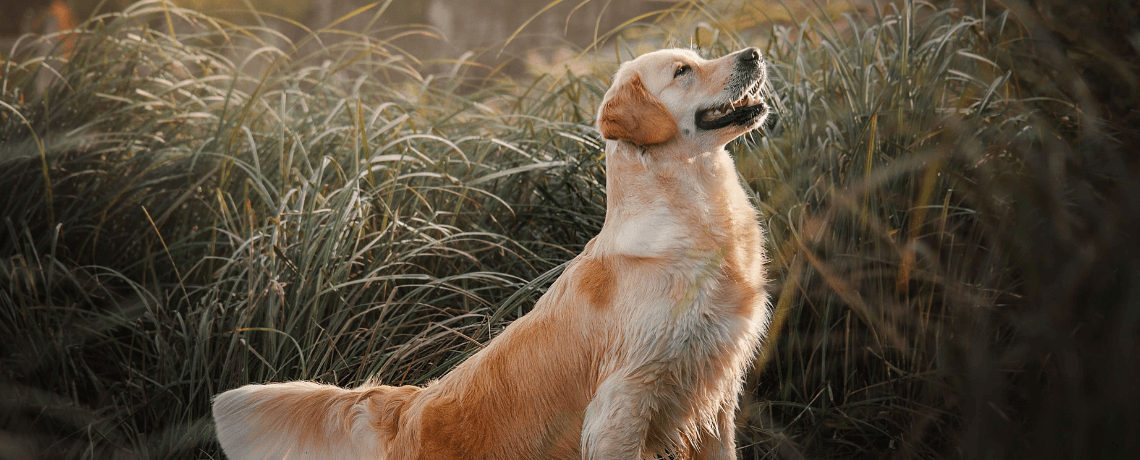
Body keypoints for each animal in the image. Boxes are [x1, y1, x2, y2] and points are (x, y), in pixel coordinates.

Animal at [209, 47, 770, 459]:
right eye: (683, 71)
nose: (755, 53)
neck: (690, 211)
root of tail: (406, 409)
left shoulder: (716, 394)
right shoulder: (625, 399)